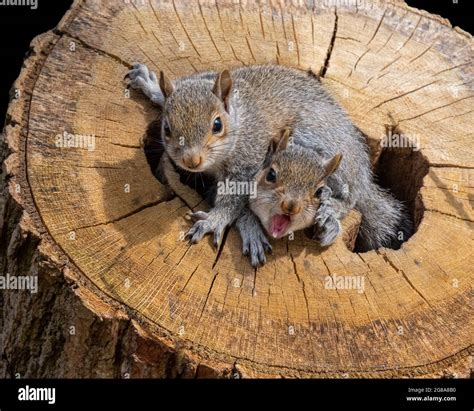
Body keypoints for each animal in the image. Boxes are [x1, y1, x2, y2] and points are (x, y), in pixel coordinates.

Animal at [126, 63, 412, 264]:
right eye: (166, 128)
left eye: (217, 125)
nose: (191, 161)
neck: (239, 120)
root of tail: (363, 173)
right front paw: (150, 84)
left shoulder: (249, 164)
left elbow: (234, 202)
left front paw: (215, 221)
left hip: (323, 145)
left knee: (351, 198)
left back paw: (331, 210)